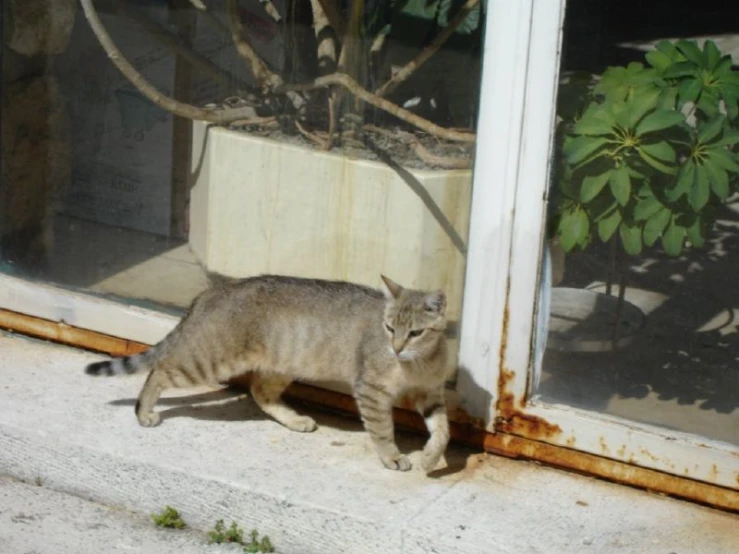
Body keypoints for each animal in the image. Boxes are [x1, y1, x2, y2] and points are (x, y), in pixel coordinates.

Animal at [84, 272, 454, 470]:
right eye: (389, 328)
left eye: (415, 332)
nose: (397, 348)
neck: (417, 363)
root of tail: (215, 290)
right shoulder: (371, 391)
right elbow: (382, 430)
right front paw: (392, 457)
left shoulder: (431, 395)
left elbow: (444, 431)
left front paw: (431, 458)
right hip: (207, 361)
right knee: (159, 370)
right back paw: (143, 412)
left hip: (281, 365)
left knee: (260, 393)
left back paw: (295, 419)